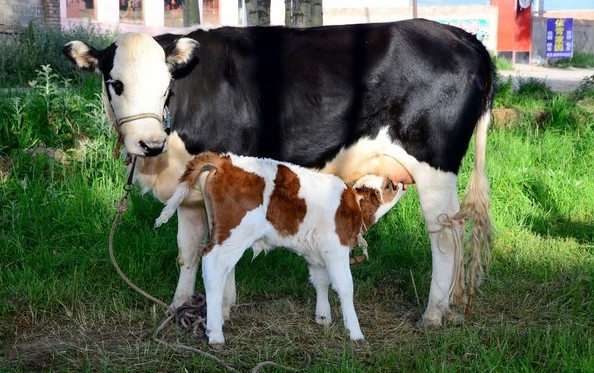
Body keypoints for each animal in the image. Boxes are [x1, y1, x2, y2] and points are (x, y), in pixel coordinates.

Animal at [153, 150, 404, 342]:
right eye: (389, 186)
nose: (402, 182)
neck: (354, 204)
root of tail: (226, 160)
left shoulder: (315, 251)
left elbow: (320, 281)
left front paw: (323, 317)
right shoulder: (336, 249)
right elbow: (344, 286)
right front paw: (355, 332)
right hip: (233, 235)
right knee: (213, 267)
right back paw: (215, 334)